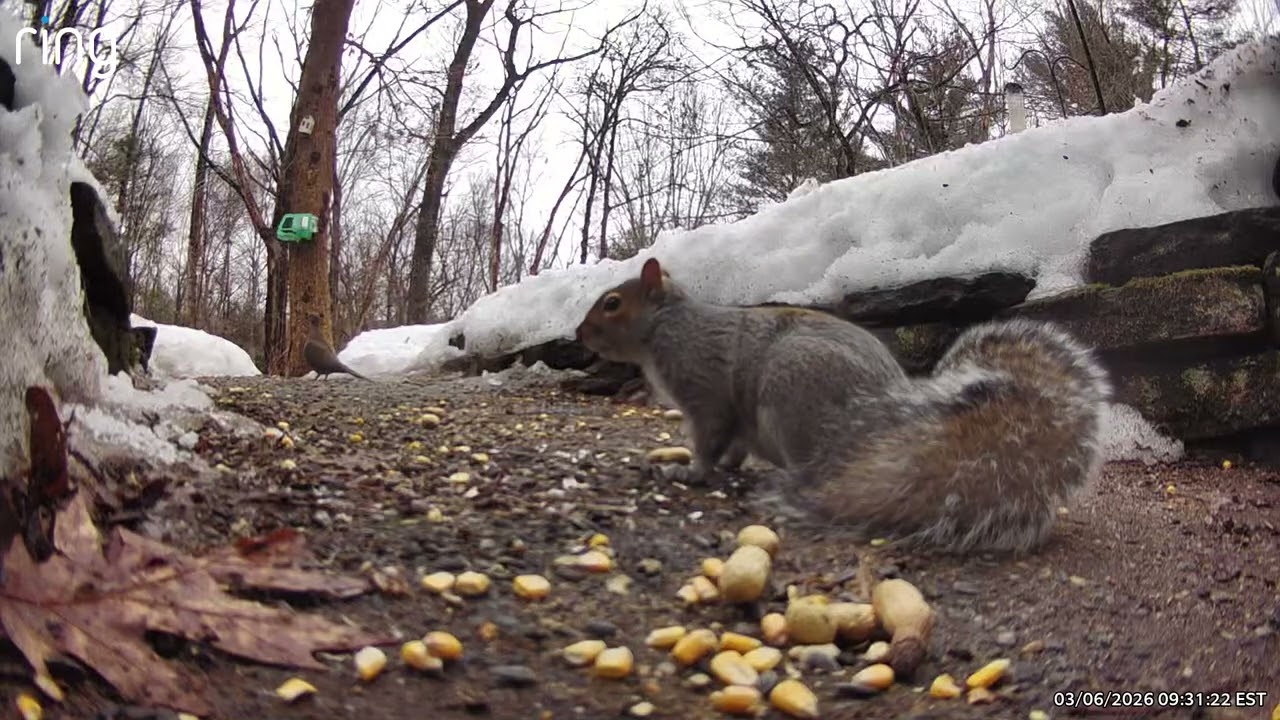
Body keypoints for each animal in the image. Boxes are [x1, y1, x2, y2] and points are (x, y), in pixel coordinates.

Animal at [575, 257, 1112, 554]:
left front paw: (688, 473)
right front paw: (719, 468)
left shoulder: (705, 390)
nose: (578, 335)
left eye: (611, 304)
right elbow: (732, 446)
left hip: (790, 392)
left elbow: (709, 440)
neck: (667, 327)